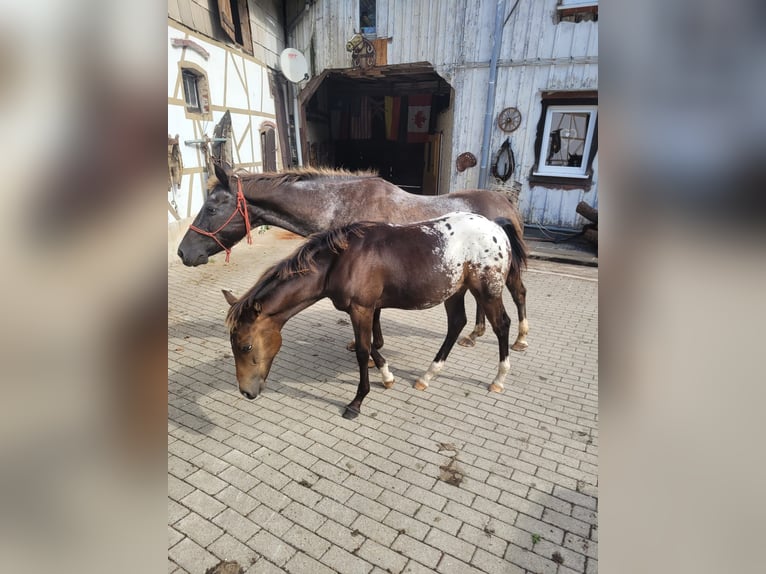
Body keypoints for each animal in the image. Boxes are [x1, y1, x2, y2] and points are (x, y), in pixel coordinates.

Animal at [180, 162, 532, 352]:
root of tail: (505, 203)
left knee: (519, 293)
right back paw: (475, 334)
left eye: (211, 208)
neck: (339, 203)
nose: (184, 252)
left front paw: (370, 348)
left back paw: (519, 340)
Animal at [219, 214, 524, 420]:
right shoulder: (363, 309)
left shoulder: (362, 309)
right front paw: (387, 376)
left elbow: (363, 350)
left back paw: (499, 378)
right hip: (455, 291)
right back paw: (427, 376)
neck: (340, 261)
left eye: (245, 346)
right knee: (456, 324)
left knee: (502, 325)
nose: (246, 392)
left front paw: (356, 402)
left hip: (487, 291)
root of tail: (497, 226)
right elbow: (372, 346)